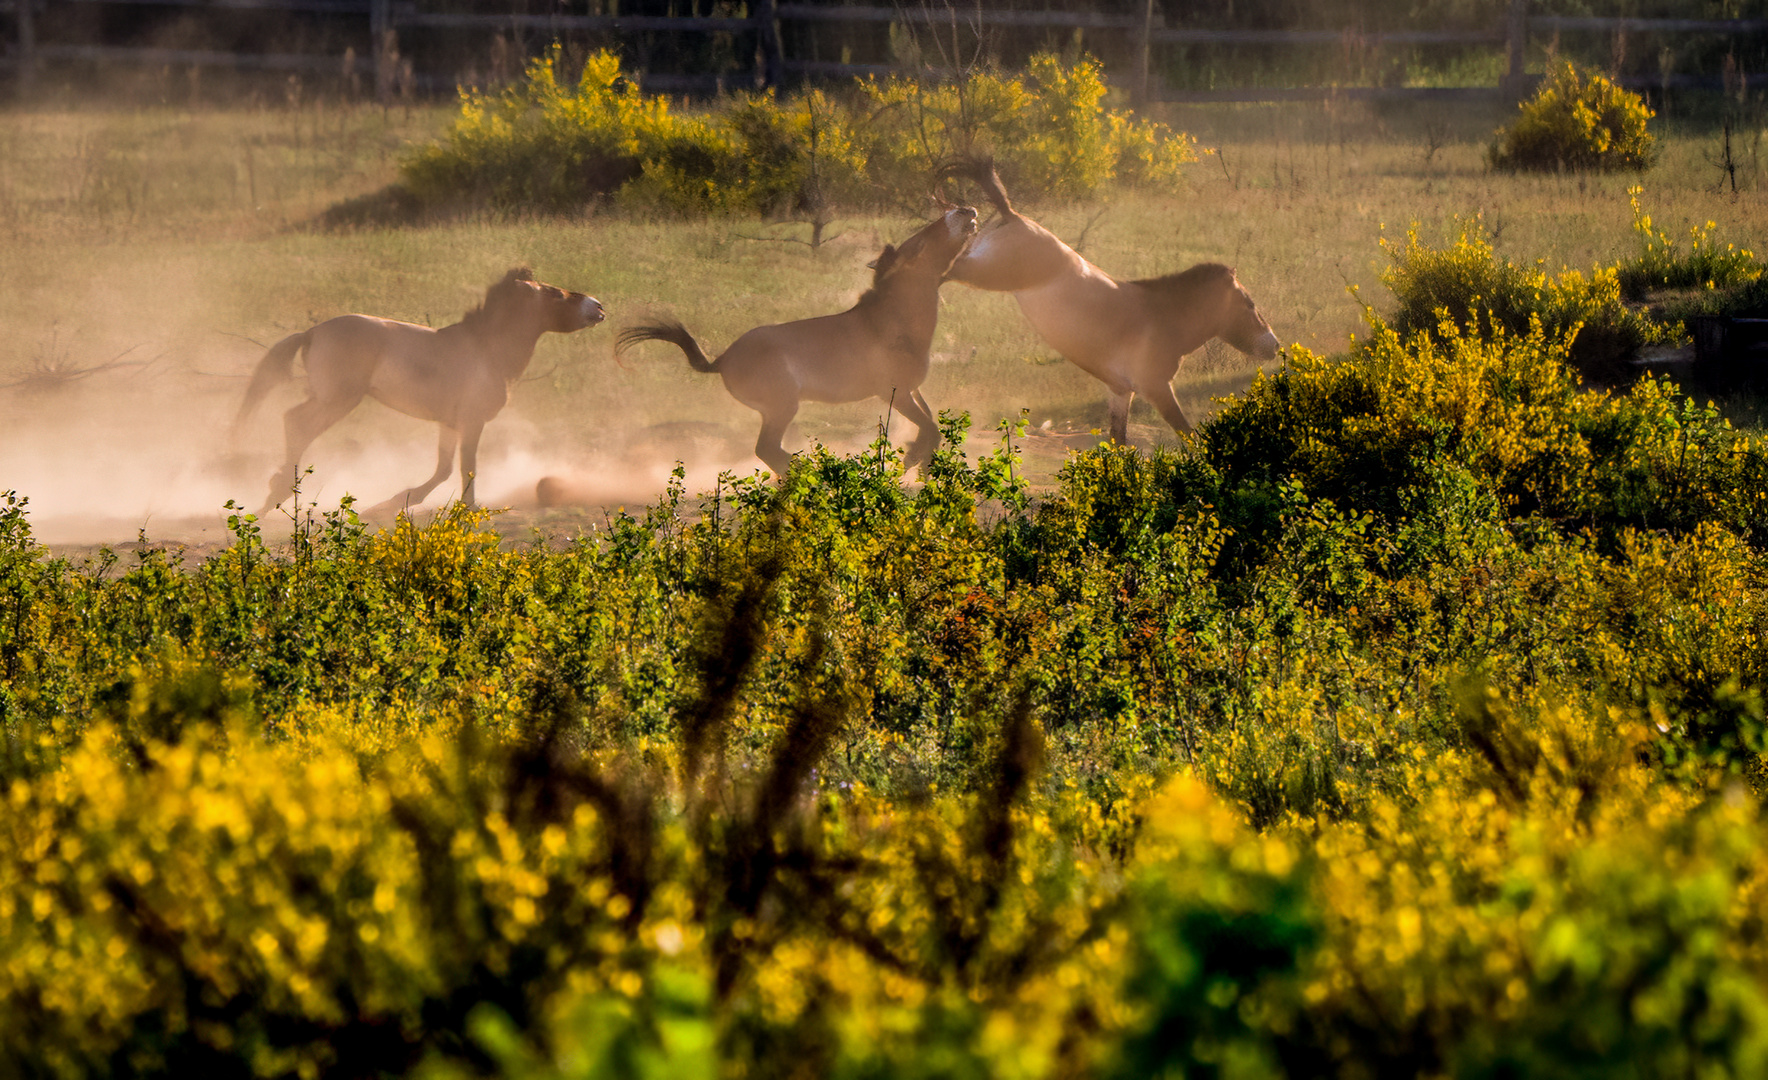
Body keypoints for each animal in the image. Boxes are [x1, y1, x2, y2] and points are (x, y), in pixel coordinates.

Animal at [231, 263, 604, 512]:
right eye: (555, 294)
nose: (599, 306)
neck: (488, 351)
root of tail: (312, 332)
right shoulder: (472, 421)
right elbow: (467, 469)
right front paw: (468, 510)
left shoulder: (450, 424)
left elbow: (443, 470)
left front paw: (396, 502)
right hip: (337, 400)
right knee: (296, 423)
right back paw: (277, 493)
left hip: (328, 398)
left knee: (293, 422)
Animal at [615, 206, 983, 477]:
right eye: (919, 243)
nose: (965, 210)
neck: (891, 322)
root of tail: (720, 360)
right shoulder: (896, 393)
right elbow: (930, 428)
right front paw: (911, 461)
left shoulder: (913, 391)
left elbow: (931, 426)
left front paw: (917, 460)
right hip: (782, 407)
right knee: (766, 449)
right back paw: (806, 473)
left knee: (768, 451)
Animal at [947, 162, 1280, 441]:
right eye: (1250, 305)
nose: (1275, 345)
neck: (1163, 318)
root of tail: (1011, 214)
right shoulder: (1158, 389)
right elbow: (1187, 435)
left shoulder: (1121, 391)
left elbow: (1119, 441)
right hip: (985, 274)